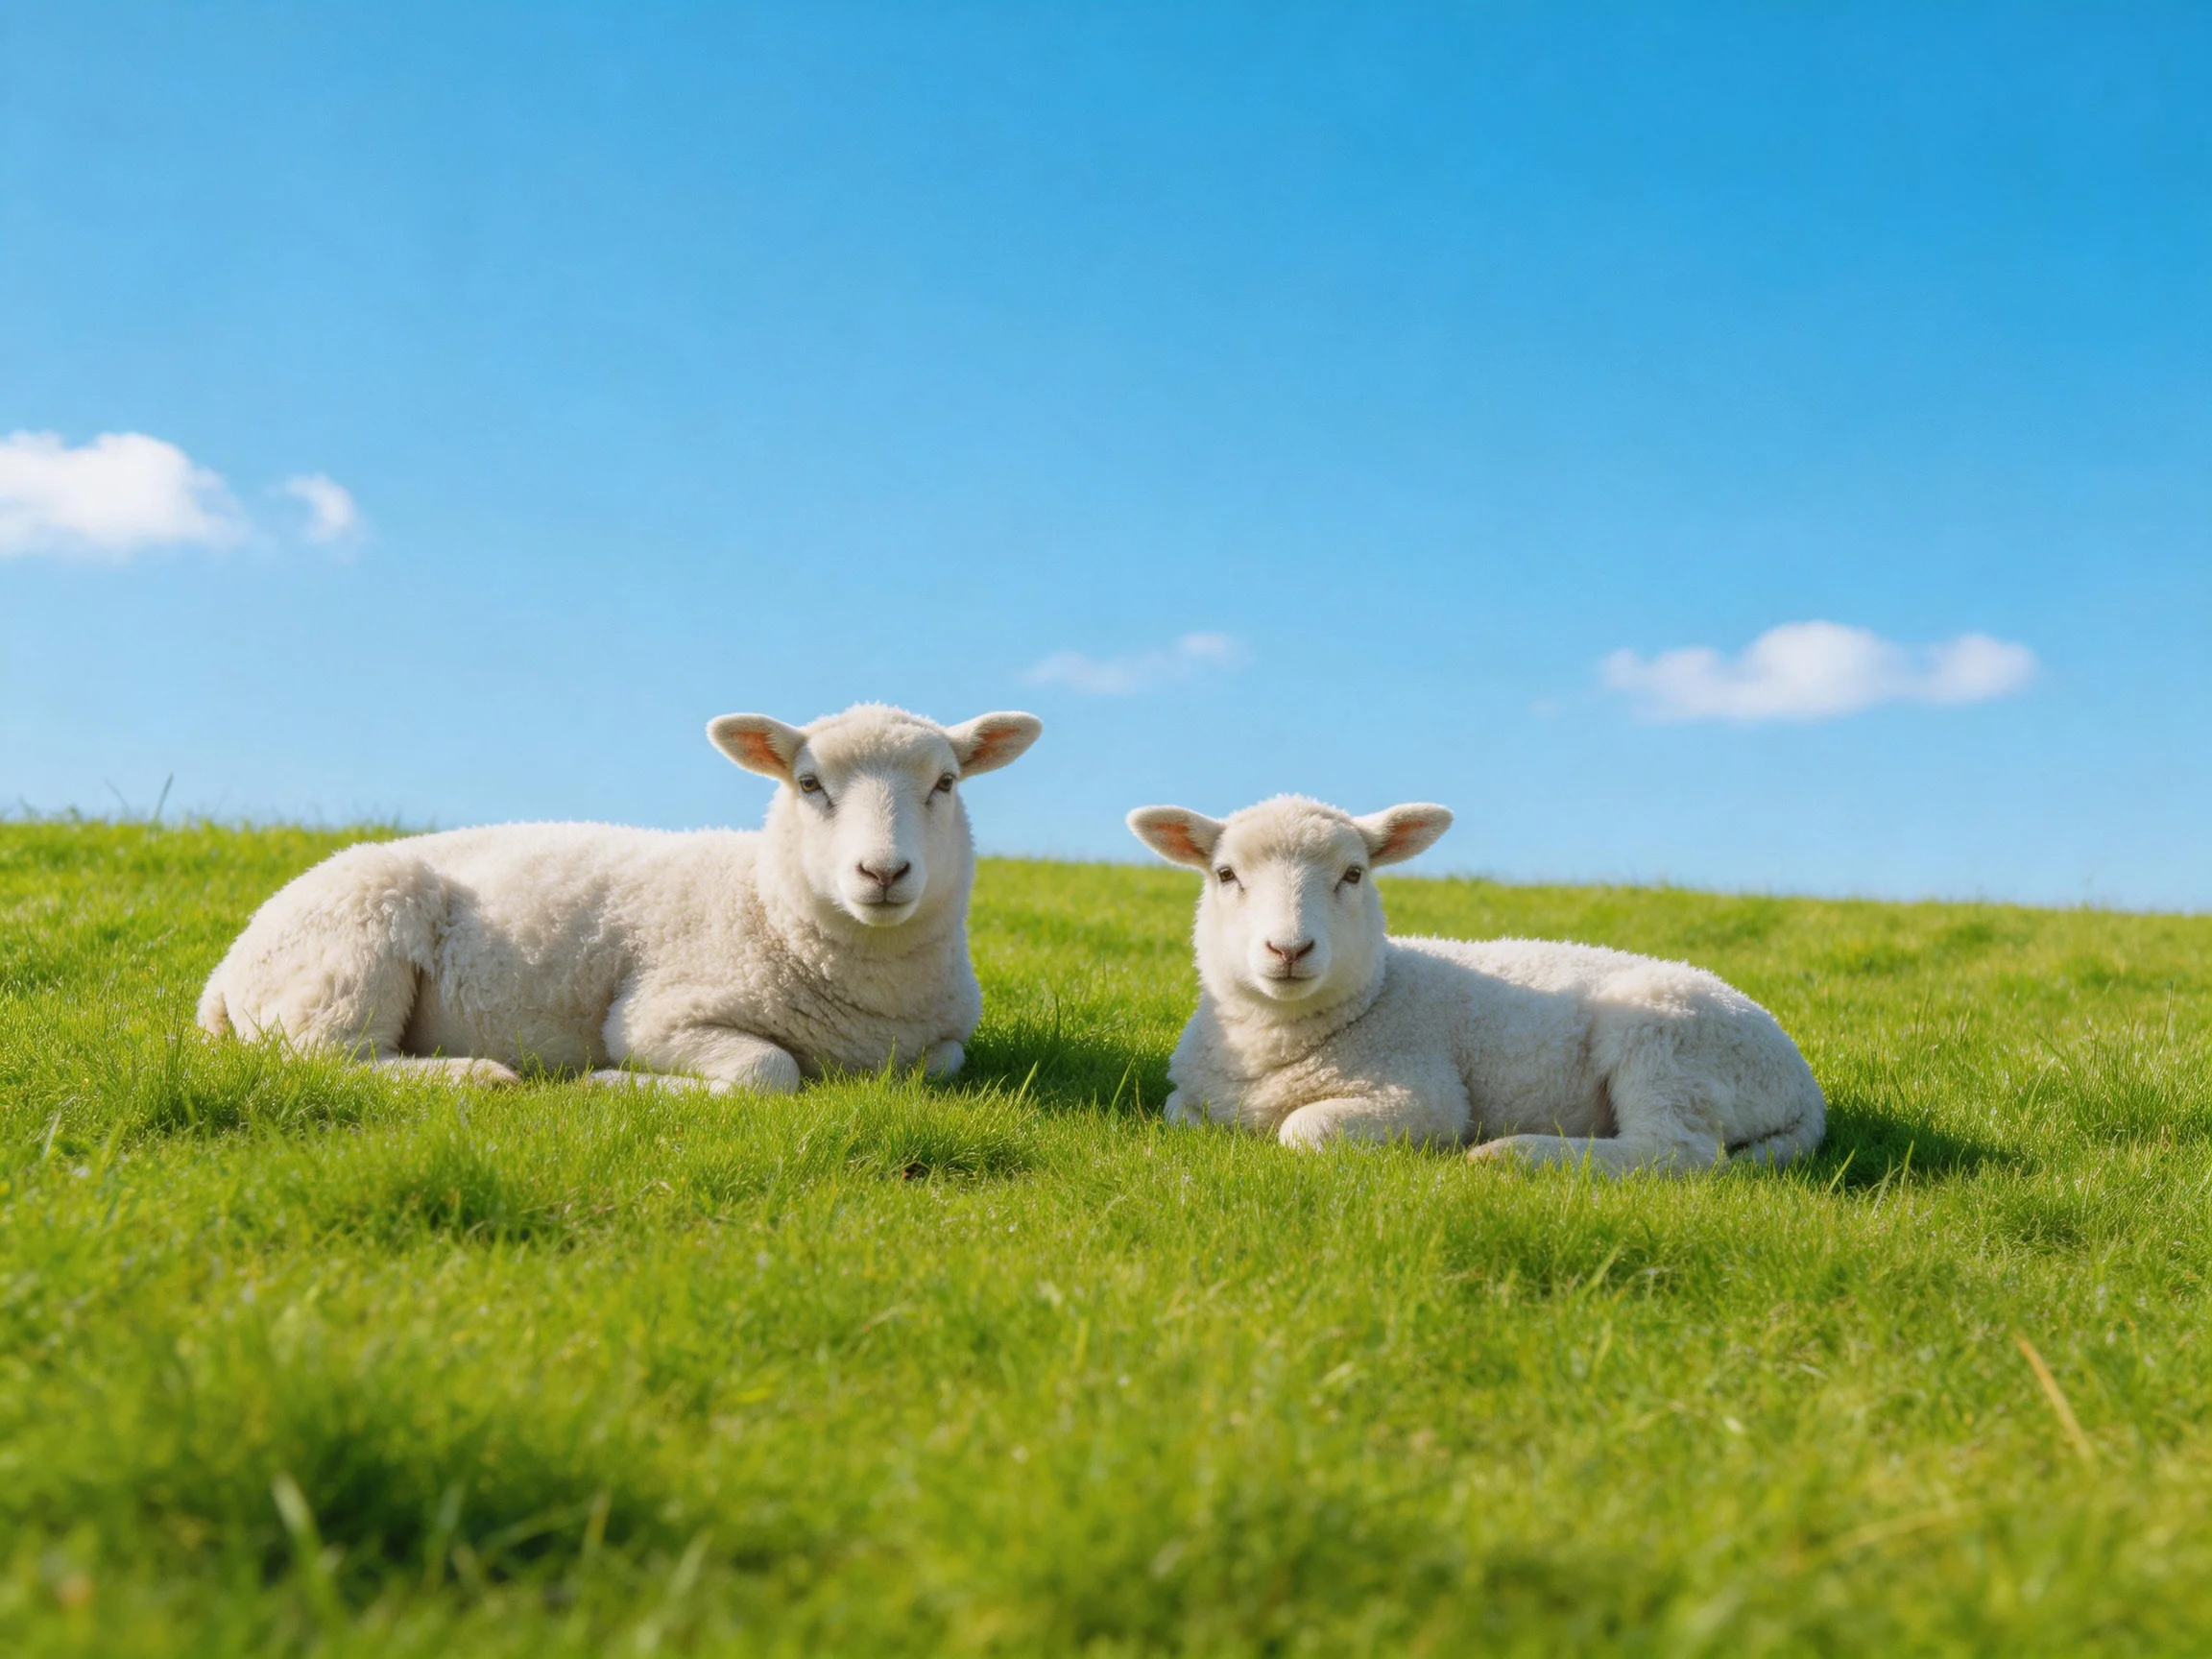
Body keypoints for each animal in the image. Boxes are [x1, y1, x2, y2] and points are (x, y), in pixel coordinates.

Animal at [197, 704, 1042, 1092]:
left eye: (946, 783)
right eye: (808, 785)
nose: (883, 873)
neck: (763, 902)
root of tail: (225, 972)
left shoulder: (942, 1041)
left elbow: (942, 1064)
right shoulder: (656, 1014)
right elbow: (769, 1071)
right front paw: (612, 1084)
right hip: (348, 953)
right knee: (323, 1063)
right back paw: (479, 1075)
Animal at [1127, 795, 1825, 1174]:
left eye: (1354, 874)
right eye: (1225, 874)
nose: (1290, 949)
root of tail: (1802, 1083)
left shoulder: (1424, 1094)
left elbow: (1302, 1130)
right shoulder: (1190, 1099)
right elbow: (1179, 1114)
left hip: (1667, 1041)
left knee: (1674, 1153)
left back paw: (1515, 1155)